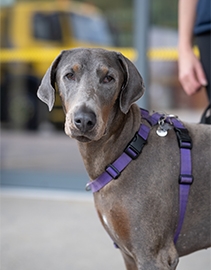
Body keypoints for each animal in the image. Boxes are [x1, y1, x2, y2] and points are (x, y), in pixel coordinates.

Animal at [38, 47, 211, 268]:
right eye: (69, 75)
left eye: (109, 78)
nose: (84, 120)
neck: (127, 149)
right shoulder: (129, 255)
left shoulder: (153, 256)